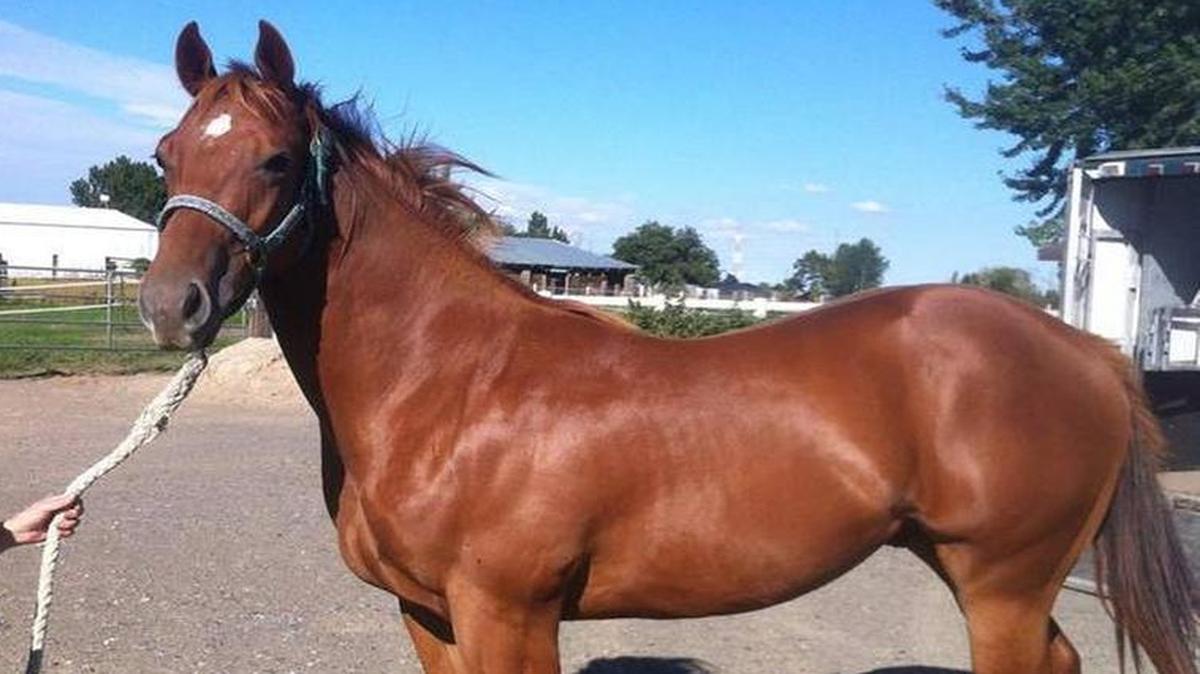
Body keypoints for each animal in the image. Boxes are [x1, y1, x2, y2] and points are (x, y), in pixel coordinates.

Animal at [138, 21, 1197, 674]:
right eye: (166, 152)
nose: (168, 306)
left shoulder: (507, 614)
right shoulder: (428, 614)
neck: (449, 386)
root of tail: (1087, 354)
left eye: (276, 158)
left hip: (1001, 583)